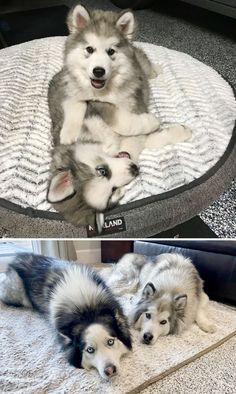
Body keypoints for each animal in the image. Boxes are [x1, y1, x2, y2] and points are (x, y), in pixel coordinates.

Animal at [0, 252, 132, 378]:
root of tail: (19, 256)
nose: (110, 370)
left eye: (110, 342)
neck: (87, 310)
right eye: (90, 350)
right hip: (16, 295)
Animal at [46, 3, 192, 228]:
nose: (134, 169)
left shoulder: (99, 105)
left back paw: (155, 70)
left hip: (140, 61)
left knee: (146, 64)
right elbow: (145, 137)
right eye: (113, 192)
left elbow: (124, 121)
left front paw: (155, 122)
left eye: (102, 171)